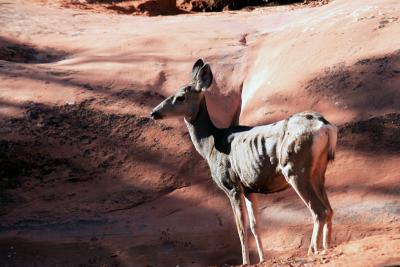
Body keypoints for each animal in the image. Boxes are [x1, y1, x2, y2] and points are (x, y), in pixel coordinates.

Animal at [150, 59, 338, 266]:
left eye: (180, 97)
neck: (210, 144)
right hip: (319, 170)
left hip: (295, 167)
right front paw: (262, 259)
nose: (154, 113)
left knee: (319, 210)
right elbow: (255, 225)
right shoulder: (249, 187)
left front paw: (246, 261)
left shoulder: (231, 185)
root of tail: (326, 126)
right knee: (329, 209)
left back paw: (313, 250)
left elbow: (241, 228)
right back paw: (326, 247)